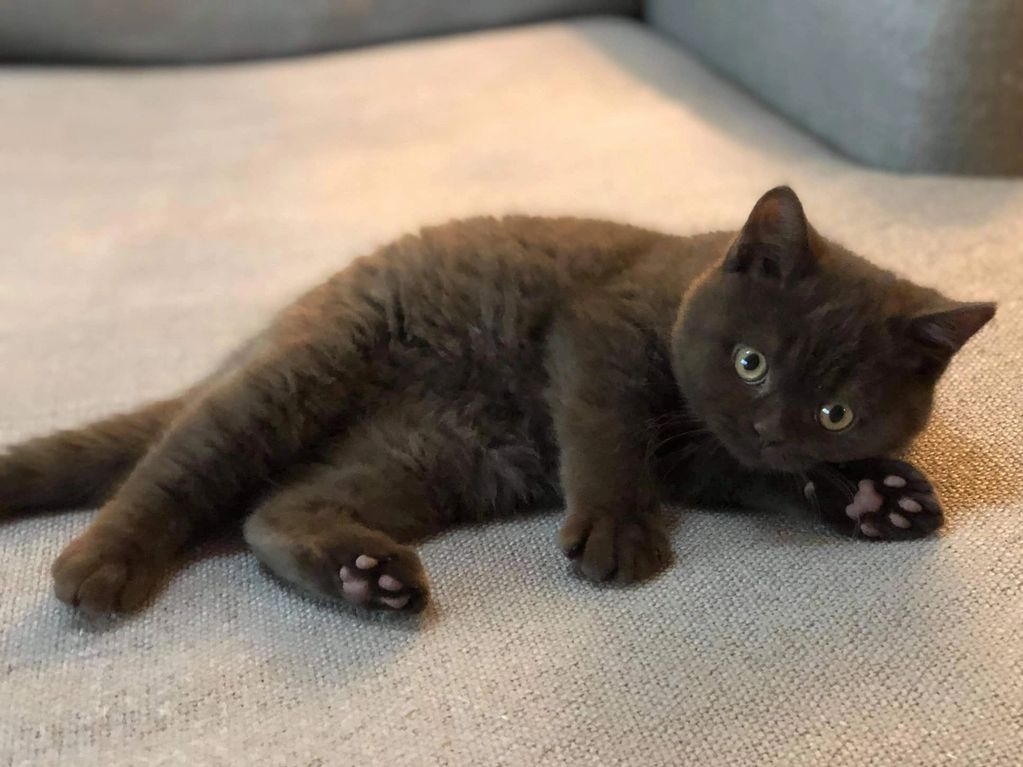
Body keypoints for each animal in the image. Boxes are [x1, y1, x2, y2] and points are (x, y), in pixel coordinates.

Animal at [0, 188, 994, 617]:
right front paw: (617, 529)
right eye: (750, 360)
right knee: (175, 470)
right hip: (300, 375)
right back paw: (98, 566)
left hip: (433, 456)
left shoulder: (708, 456)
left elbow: (767, 479)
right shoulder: (599, 328)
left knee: (271, 513)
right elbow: (605, 429)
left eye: (835, 413)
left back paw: (363, 575)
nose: (769, 424)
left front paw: (871, 494)